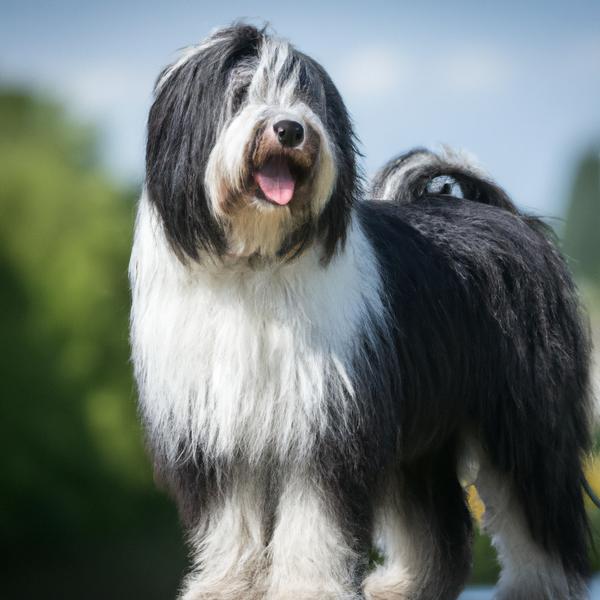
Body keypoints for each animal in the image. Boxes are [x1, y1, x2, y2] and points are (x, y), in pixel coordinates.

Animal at [129, 23, 592, 600]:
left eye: (306, 98)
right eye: (240, 94)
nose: (289, 129)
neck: (255, 264)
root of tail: (503, 215)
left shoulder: (326, 422)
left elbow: (313, 521)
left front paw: (308, 587)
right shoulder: (216, 429)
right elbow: (231, 523)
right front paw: (225, 587)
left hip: (521, 412)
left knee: (537, 504)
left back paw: (538, 585)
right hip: (422, 429)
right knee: (433, 521)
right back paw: (405, 585)